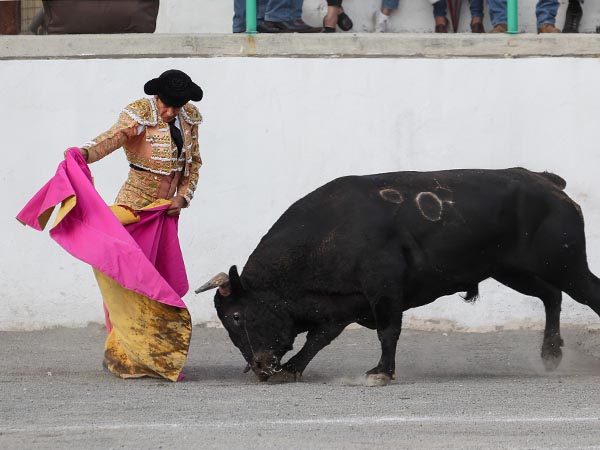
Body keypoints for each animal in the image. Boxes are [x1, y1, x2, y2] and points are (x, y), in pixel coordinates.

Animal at [197, 169, 600, 386]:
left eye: (237, 315)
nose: (261, 367)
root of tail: (547, 182)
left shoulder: (384, 290)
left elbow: (387, 331)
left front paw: (381, 373)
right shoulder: (339, 306)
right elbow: (317, 341)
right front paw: (292, 370)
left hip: (565, 265)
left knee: (588, 293)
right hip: (512, 270)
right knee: (551, 296)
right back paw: (550, 354)